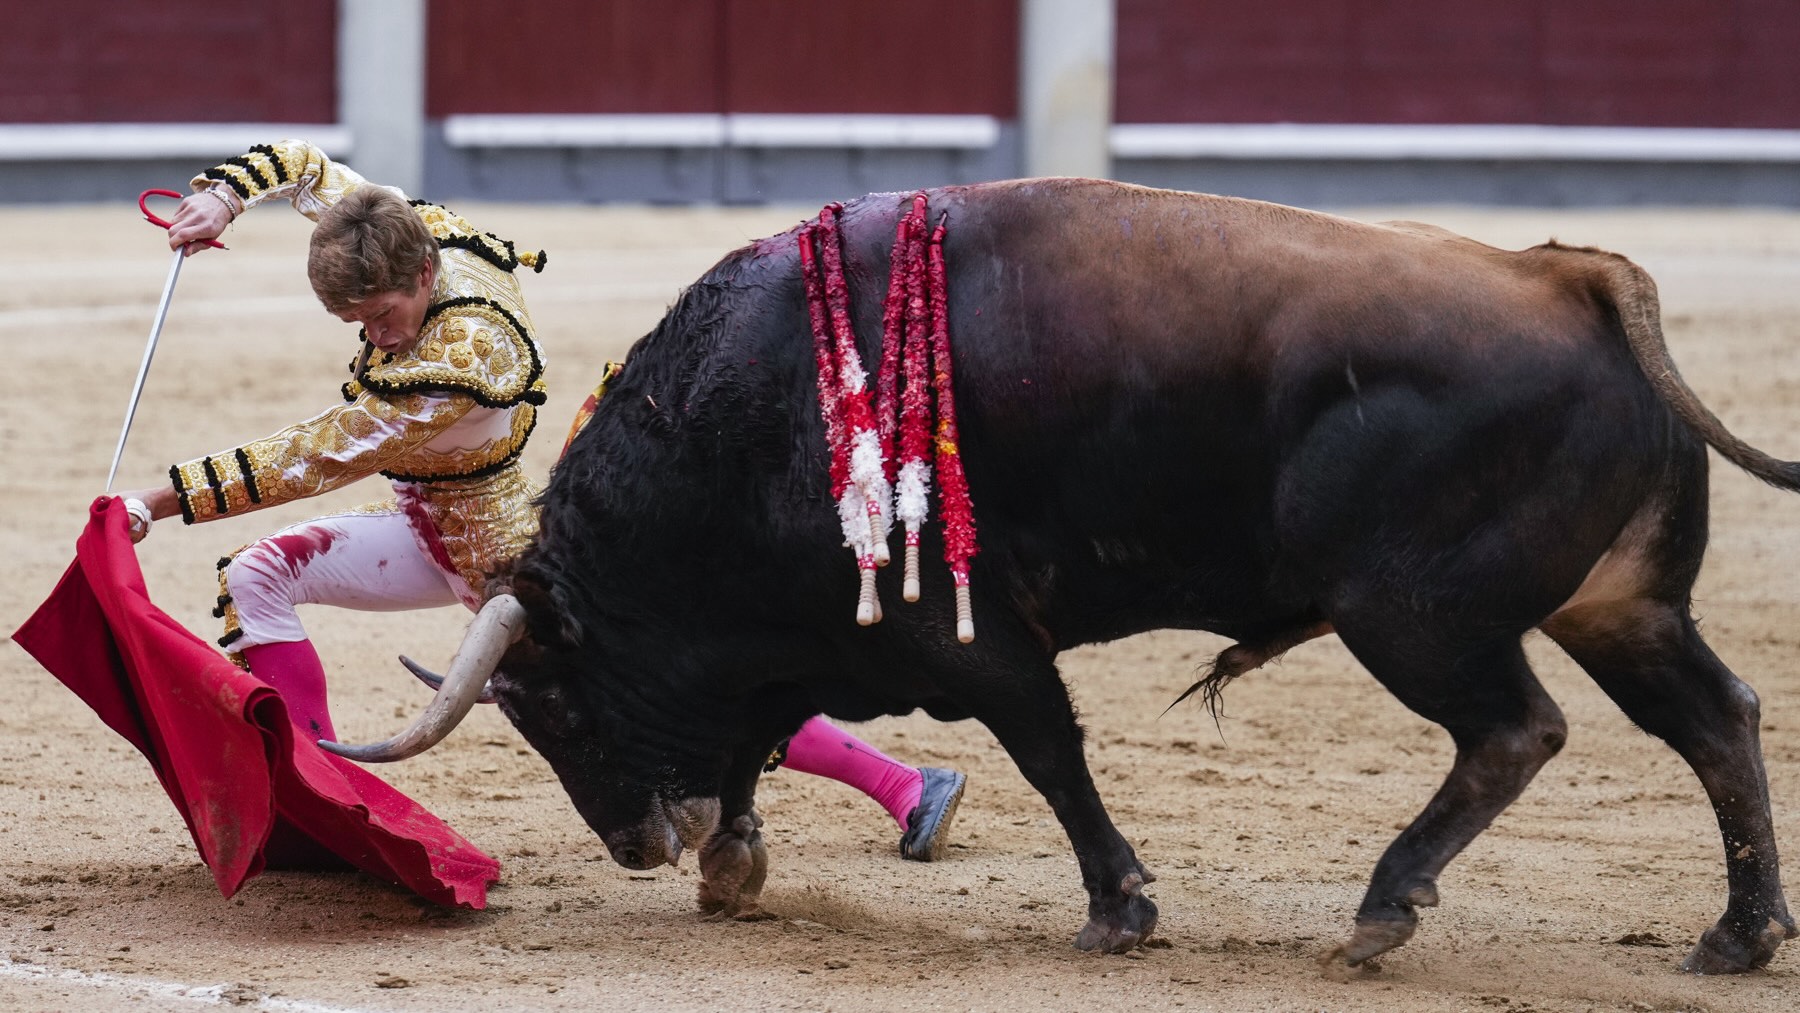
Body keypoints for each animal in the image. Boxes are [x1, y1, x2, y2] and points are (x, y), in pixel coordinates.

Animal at [331, 179, 1792, 971]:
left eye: (555, 708)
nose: (636, 846)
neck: (746, 417)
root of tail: (1573, 277)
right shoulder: (817, 636)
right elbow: (758, 730)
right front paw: (733, 866)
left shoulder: (962, 632)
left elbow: (1046, 748)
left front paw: (1119, 908)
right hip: (1621, 603)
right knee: (1717, 720)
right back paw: (1737, 936)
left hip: (1411, 614)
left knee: (1516, 730)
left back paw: (1384, 908)